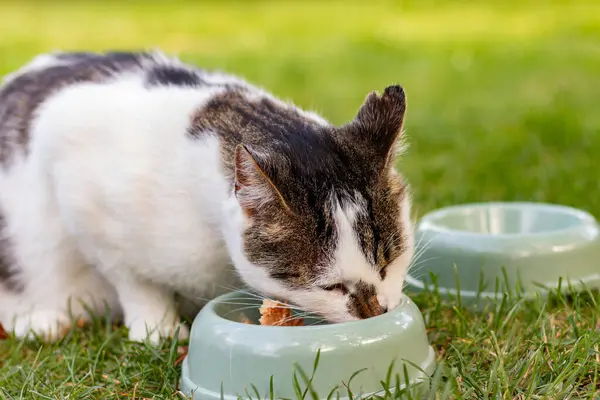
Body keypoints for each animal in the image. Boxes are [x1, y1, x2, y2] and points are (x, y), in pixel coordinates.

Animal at [0, 50, 412, 344]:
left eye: (389, 263)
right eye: (331, 287)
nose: (376, 312)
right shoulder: (79, 186)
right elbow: (132, 278)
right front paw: (157, 328)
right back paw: (41, 321)